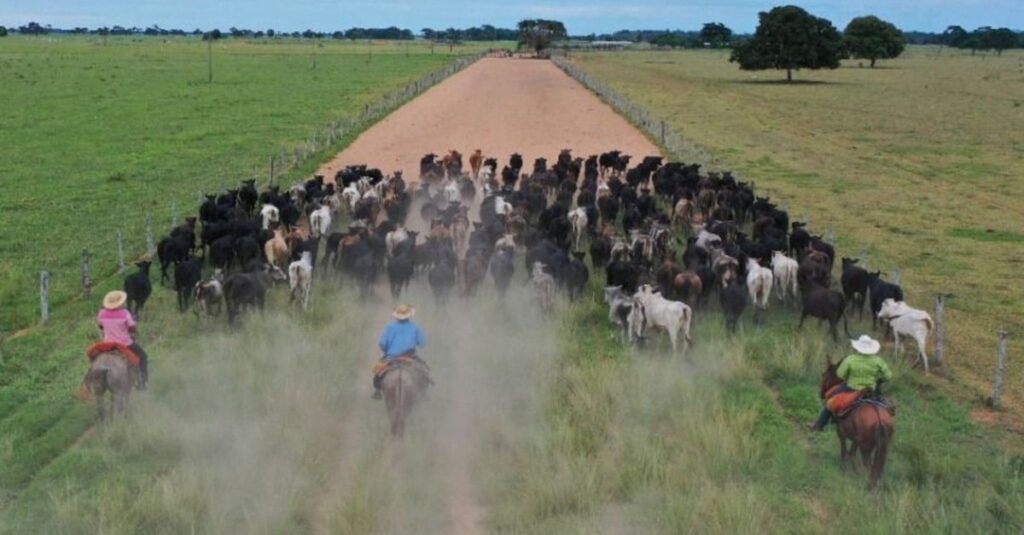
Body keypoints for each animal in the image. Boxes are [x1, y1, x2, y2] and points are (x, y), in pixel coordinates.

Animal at [819, 358, 892, 487]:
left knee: (869, 466)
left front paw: (844, 467)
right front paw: (852, 469)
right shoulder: (856, 439)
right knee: (876, 467)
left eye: (824, 375)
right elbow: (852, 453)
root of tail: (879, 418)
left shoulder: (841, 432)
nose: (821, 393)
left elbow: (844, 451)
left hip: (866, 447)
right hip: (880, 445)